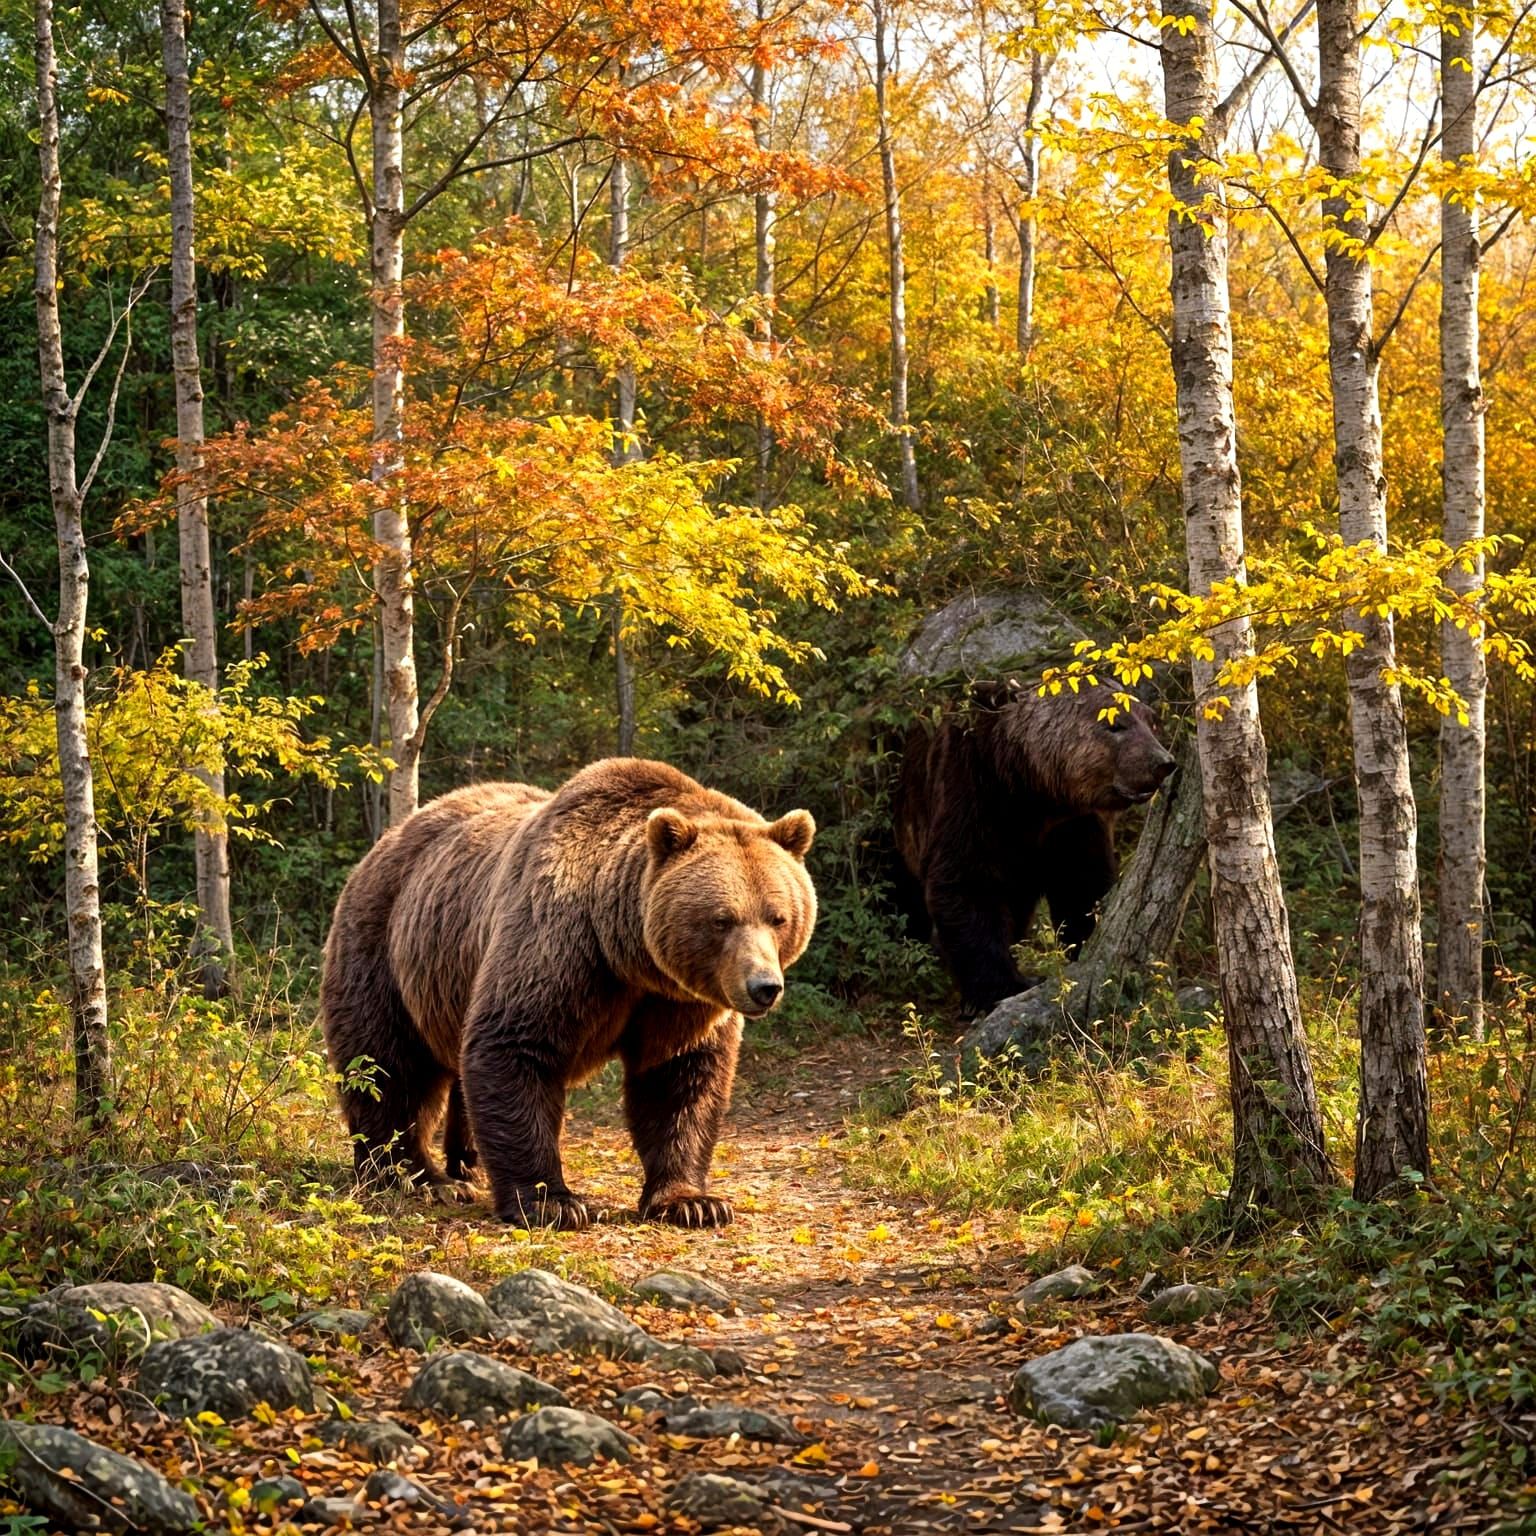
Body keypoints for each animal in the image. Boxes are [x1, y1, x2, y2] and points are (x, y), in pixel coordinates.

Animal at [320, 758, 816, 1230]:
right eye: (722, 919)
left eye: (778, 916)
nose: (764, 987)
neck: (629, 953)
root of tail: (383, 844)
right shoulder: (560, 946)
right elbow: (516, 1046)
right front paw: (551, 1203)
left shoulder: (677, 1002)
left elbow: (678, 1077)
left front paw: (693, 1202)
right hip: (386, 949)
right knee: (388, 1065)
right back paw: (416, 1178)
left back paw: (467, 1167)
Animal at [891, 681, 1176, 1013]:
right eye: (1115, 724)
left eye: (1150, 721)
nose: (1162, 762)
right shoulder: (970, 791)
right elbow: (966, 884)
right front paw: (1001, 988)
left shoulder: (1073, 825)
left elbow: (1082, 885)